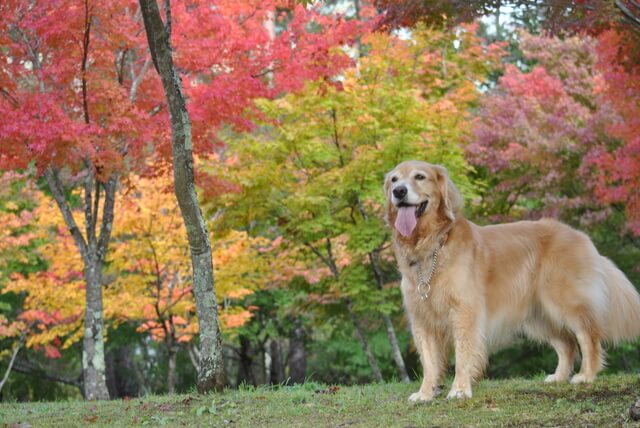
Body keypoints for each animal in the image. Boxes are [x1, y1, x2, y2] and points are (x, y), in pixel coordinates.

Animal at [382, 160, 640, 402]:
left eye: (419, 176)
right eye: (394, 179)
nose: (399, 191)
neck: (433, 245)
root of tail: (579, 235)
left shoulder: (464, 311)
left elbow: (463, 353)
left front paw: (459, 389)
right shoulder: (421, 318)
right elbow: (429, 362)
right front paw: (425, 393)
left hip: (565, 302)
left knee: (588, 336)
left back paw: (586, 375)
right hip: (539, 315)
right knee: (567, 343)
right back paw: (559, 376)